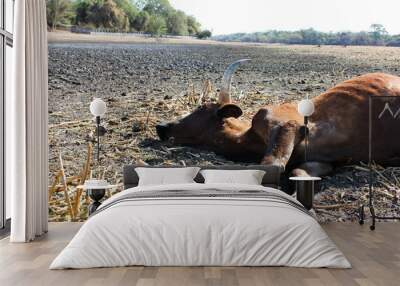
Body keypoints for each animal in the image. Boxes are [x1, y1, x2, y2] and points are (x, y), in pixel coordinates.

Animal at [155, 59, 400, 178]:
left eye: (200, 108)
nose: (161, 126)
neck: (246, 138)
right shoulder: (321, 162)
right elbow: (297, 172)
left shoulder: (284, 123)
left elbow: (271, 165)